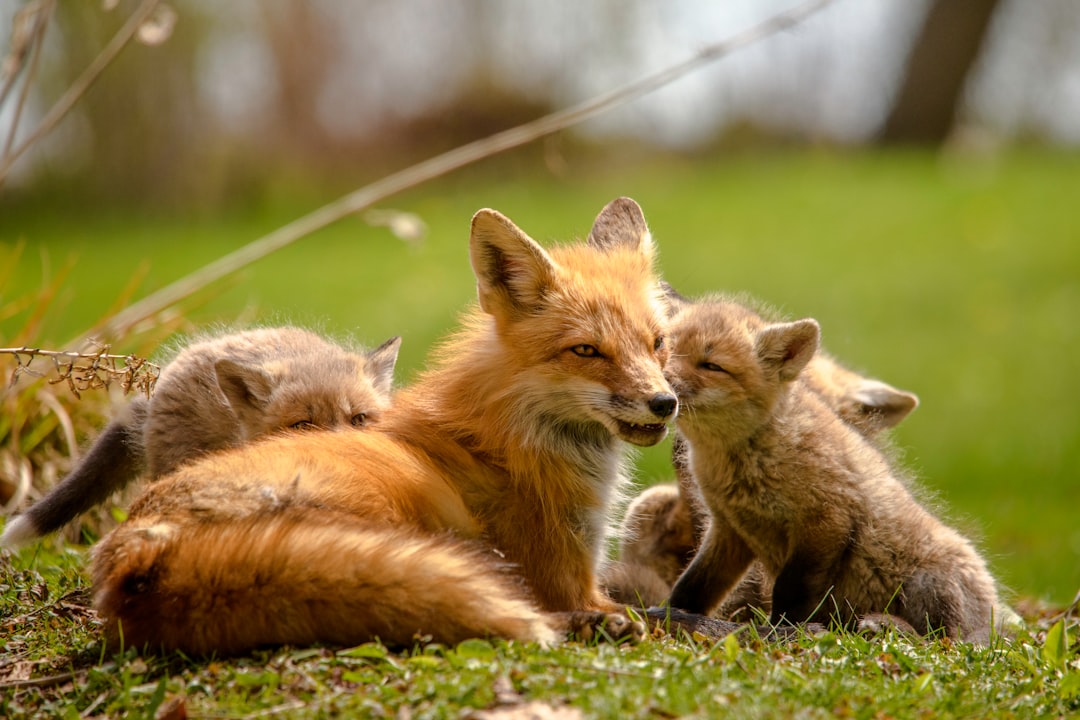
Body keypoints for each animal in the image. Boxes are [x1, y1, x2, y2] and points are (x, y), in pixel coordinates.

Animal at [92, 195, 673, 651]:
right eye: (586, 351)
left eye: (657, 343)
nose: (664, 402)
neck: (511, 436)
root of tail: (134, 554)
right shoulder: (567, 577)